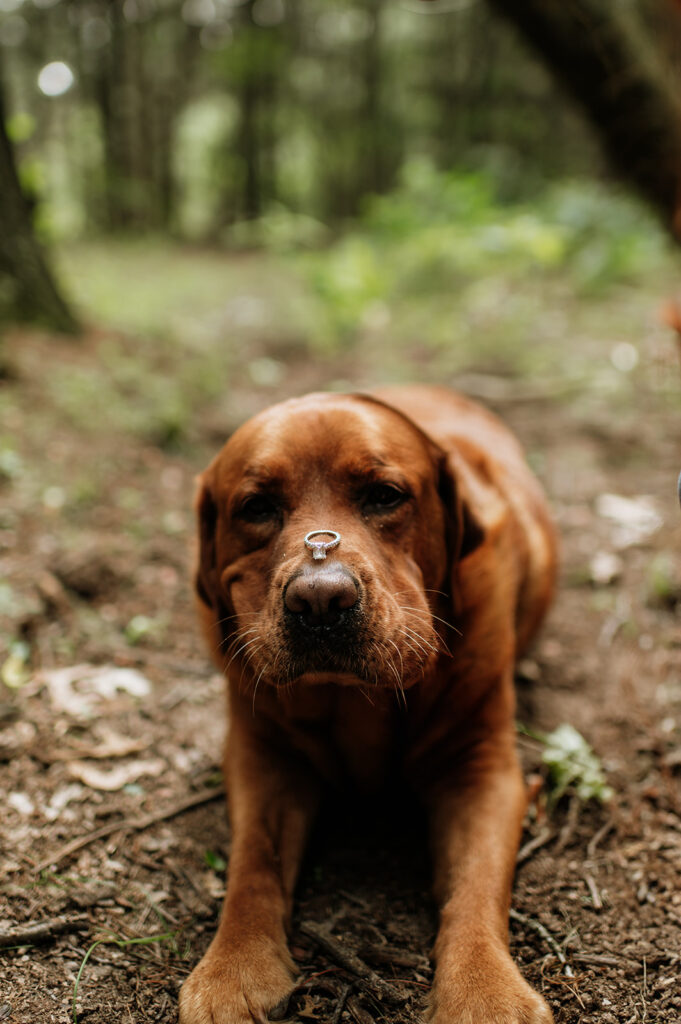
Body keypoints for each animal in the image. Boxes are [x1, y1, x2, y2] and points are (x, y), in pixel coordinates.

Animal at [179, 385, 557, 1024]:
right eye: (256, 507)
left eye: (384, 495)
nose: (320, 601)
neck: (354, 703)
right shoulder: (262, 758)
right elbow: (251, 866)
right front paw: (232, 968)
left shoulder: (482, 769)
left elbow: (476, 884)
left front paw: (484, 991)